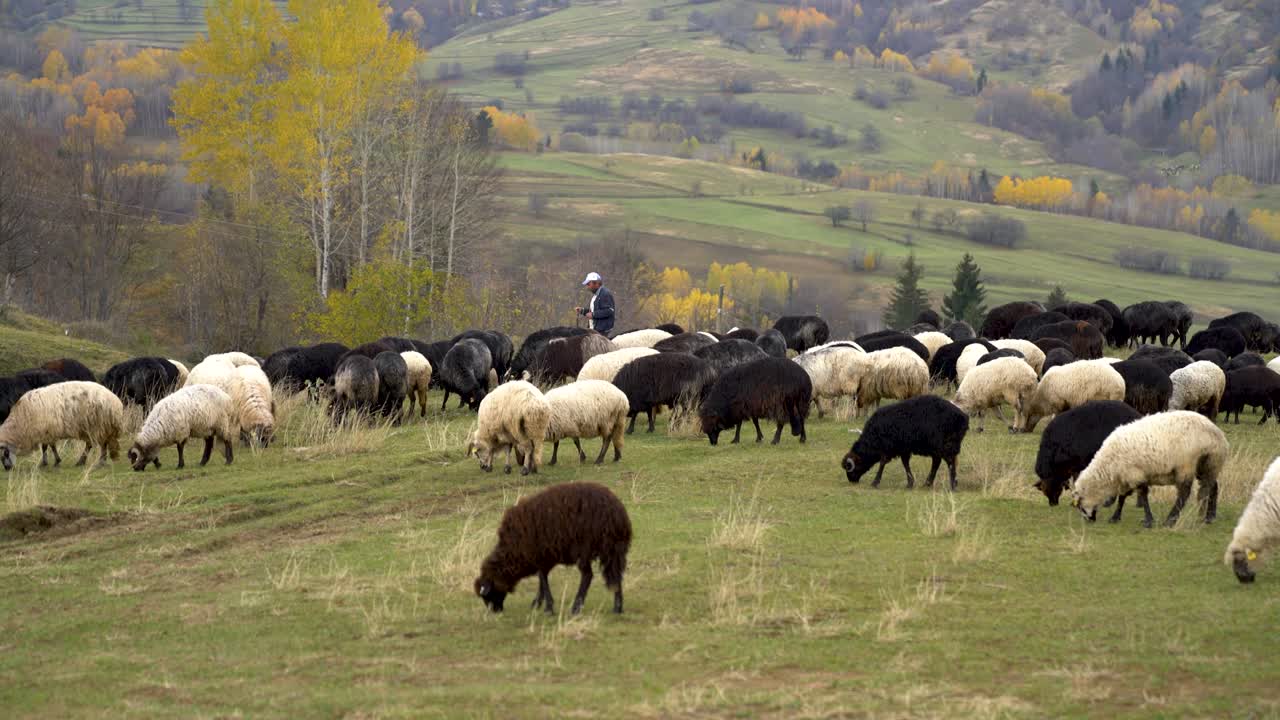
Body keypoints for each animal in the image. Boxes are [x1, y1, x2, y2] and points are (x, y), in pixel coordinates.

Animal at [474, 482, 631, 615]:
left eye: (488, 595)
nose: (495, 611)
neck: (512, 551)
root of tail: (616, 513)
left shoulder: (539, 555)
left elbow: (543, 580)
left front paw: (547, 607)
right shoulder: (543, 557)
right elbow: (541, 580)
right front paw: (538, 603)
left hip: (584, 549)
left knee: (587, 576)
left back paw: (576, 607)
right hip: (614, 550)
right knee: (616, 575)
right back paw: (617, 608)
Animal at [1071, 411, 1226, 528]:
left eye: (1080, 505)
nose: (1089, 520)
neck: (1109, 467)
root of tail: (1218, 435)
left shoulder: (1135, 474)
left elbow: (1143, 496)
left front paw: (1148, 521)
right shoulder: (1127, 476)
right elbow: (1122, 497)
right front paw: (1115, 517)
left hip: (1187, 464)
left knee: (1184, 493)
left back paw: (1170, 520)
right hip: (1208, 464)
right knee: (1212, 486)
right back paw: (1209, 517)